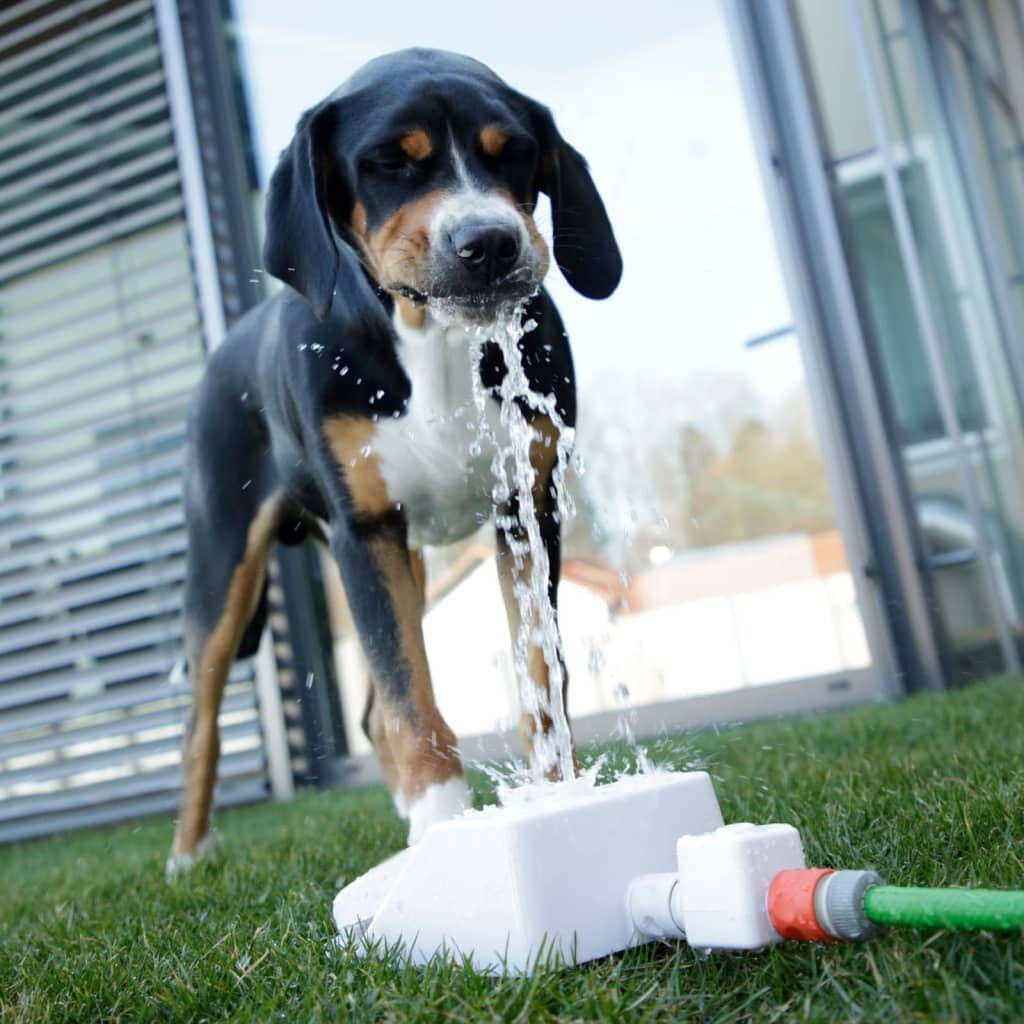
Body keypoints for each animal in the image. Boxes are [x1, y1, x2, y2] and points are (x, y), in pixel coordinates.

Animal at [167, 48, 618, 876]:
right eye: (389, 161)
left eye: (515, 152)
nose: (489, 242)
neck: (434, 341)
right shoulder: (366, 532)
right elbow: (411, 698)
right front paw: (442, 822)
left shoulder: (527, 510)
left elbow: (541, 675)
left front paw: (558, 797)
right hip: (221, 569)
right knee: (200, 727)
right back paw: (189, 855)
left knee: (372, 712)